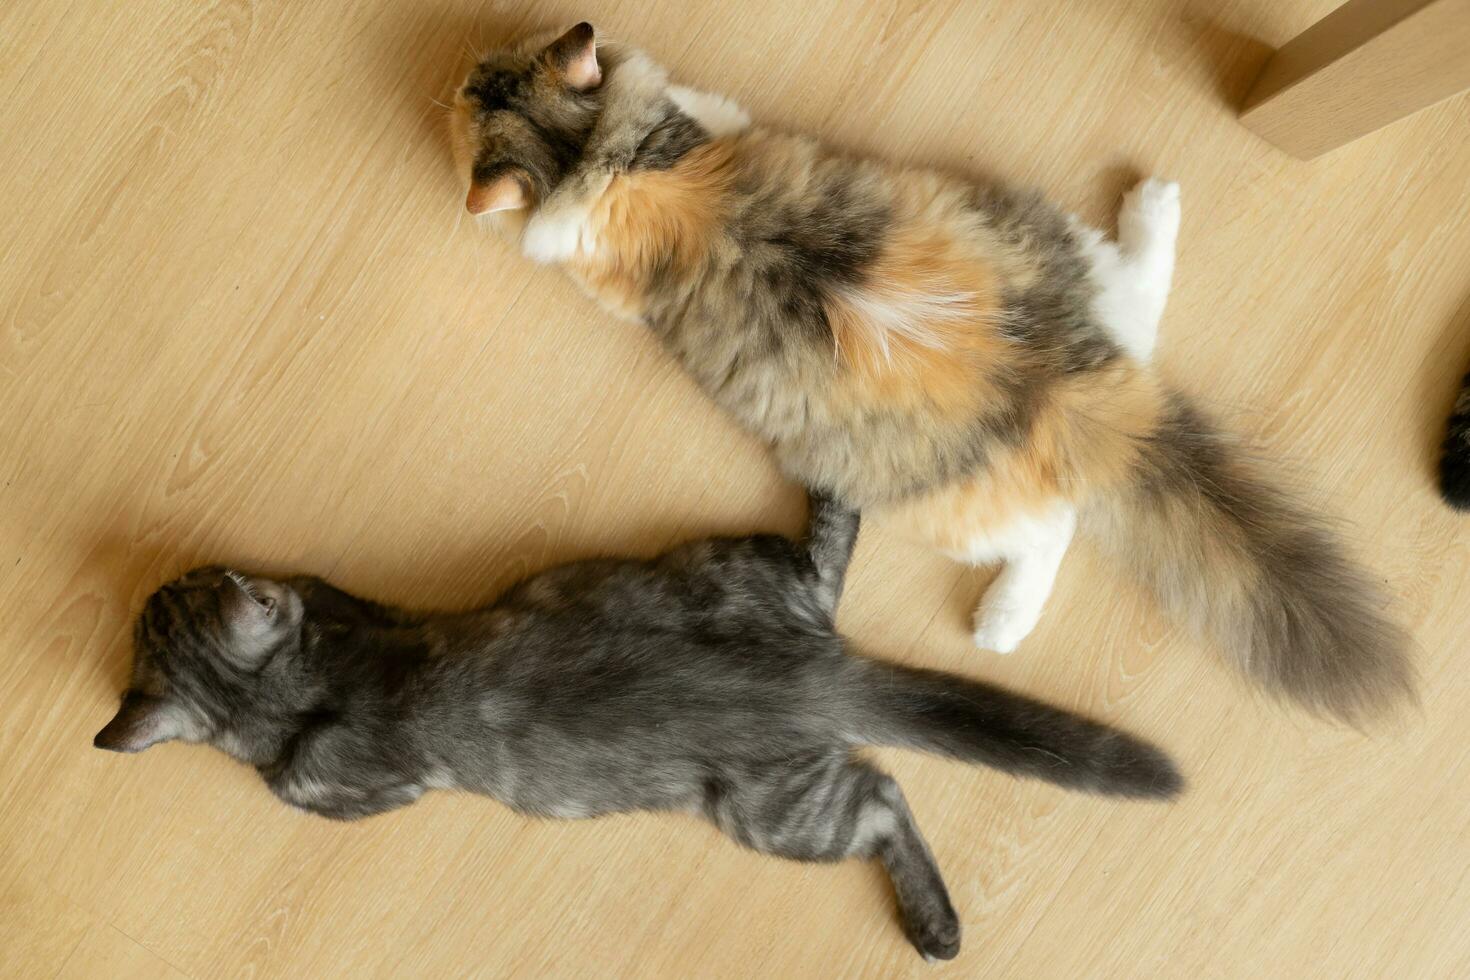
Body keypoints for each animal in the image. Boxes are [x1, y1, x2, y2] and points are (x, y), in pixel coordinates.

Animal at [94, 493, 1181, 963]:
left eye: (187, 584)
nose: (167, 571)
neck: (293, 687)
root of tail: (815, 676)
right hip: (740, 577)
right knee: (827, 565)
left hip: (775, 813)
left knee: (882, 796)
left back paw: (938, 927)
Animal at [446, 22, 1411, 725]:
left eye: (475, 81)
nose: (457, 73)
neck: (599, 155)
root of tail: (1060, 390)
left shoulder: (687, 140)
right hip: (1070, 258)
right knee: (1143, 290)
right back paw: (1155, 204)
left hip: (946, 510)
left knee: (1050, 535)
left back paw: (1000, 623)